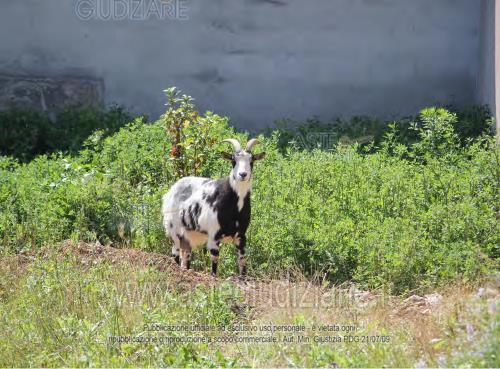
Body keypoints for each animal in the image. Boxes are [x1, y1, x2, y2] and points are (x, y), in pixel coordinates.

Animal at [163, 139, 266, 276]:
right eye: (233, 160)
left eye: (252, 160)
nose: (243, 174)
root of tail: (170, 191)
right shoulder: (214, 235)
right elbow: (215, 261)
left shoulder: (241, 236)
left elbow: (242, 260)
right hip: (173, 230)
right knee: (175, 252)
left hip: (189, 235)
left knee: (186, 255)